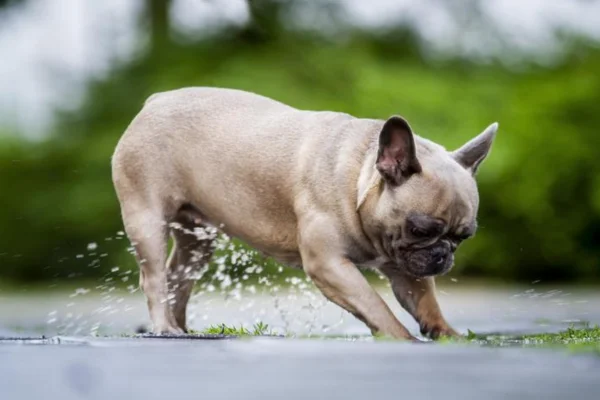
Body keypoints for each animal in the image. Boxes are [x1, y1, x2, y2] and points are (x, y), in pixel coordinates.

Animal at [111, 87, 496, 340]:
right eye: (420, 230)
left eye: (463, 237)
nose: (442, 255)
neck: (357, 179)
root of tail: (154, 101)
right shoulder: (330, 266)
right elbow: (375, 305)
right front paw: (402, 338)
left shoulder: (406, 270)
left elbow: (425, 302)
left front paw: (447, 334)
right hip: (147, 219)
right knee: (155, 277)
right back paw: (165, 328)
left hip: (197, 240)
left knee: (180, 276)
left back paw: (182, 328)